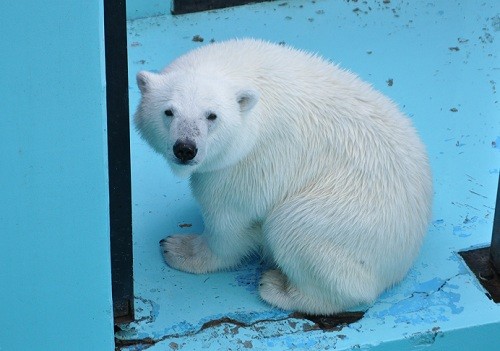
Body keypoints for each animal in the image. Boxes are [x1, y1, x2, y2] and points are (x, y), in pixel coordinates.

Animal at [134, 39, 434, 316]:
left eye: (212, 116)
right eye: (168, 111)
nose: (185, 148)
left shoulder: (249, 162)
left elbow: (228, 222)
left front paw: (178, 248)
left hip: (344, 217)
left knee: (293, 228)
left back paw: (278, 288)